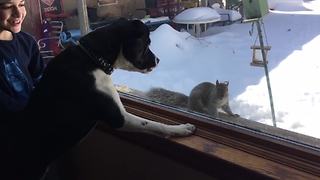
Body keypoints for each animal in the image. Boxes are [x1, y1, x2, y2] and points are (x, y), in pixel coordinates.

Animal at [7, 18, 196, 179]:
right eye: (146, 44)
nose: (158, 60)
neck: (91, 59)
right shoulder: (119, 118)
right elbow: (154, 124)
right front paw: (181, 129)